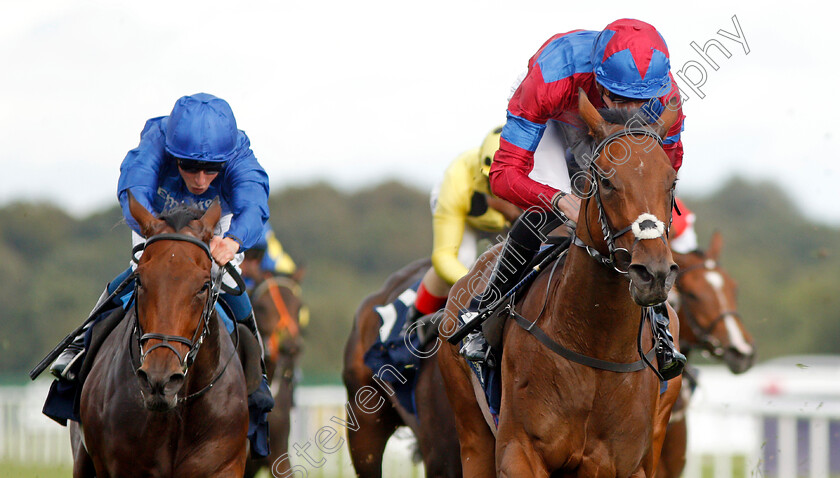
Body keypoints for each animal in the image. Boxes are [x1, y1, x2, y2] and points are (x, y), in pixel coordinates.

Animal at [436, 91, 684, 476]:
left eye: (670, 182)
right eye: (606, 181)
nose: (654, 273)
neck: (595, 345)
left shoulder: (617, 463)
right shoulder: (518, 451)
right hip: (472, 432)